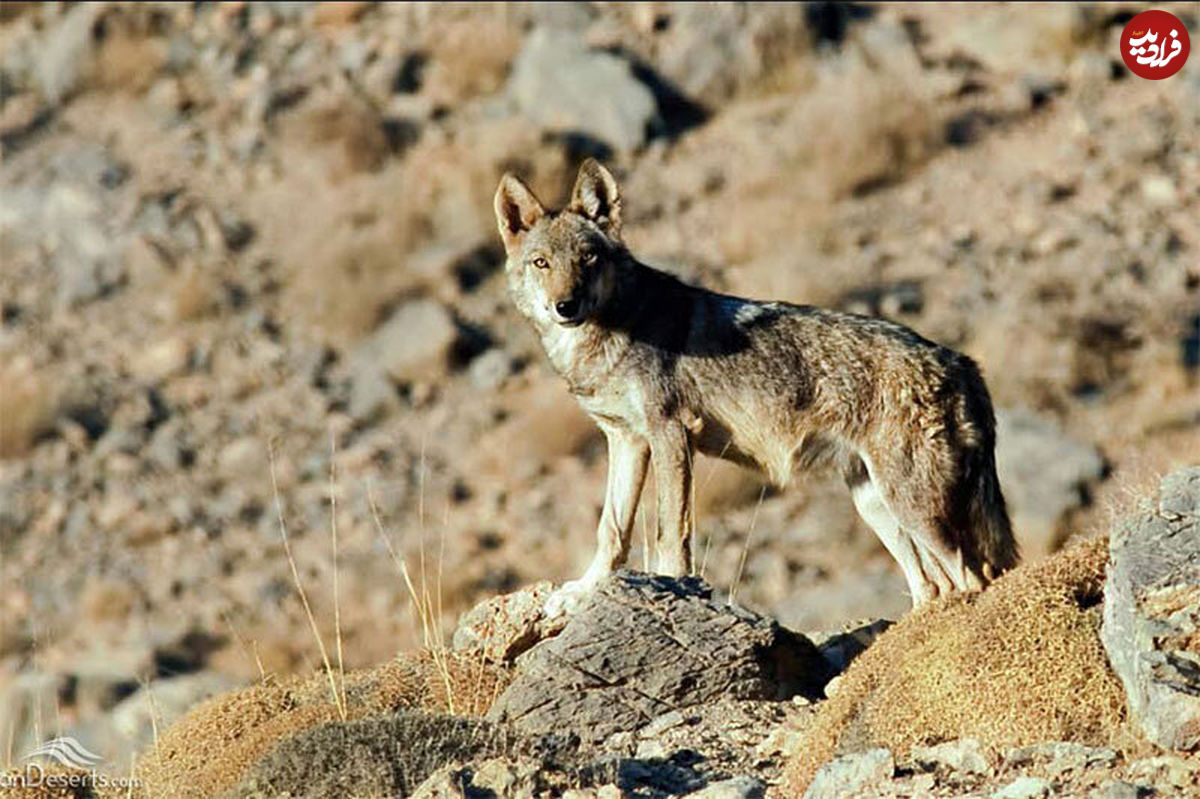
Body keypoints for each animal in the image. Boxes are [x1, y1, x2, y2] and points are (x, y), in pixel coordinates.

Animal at [492, 158, 1017, 611]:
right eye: (541, 263)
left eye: (589, 258)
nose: (566, 306)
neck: (614, 330)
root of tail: (962, 362)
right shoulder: (626, 441)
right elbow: (612, 529)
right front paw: (582, 592)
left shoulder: (671, 434)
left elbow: (670, 533)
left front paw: (673, 586)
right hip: (876, 503)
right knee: (933, 584)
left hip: (912, 505)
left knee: (972, 576)